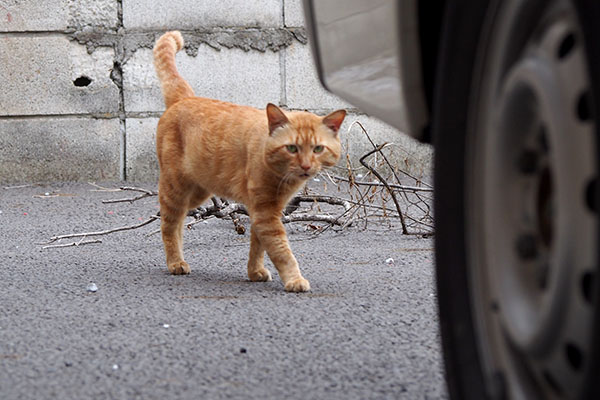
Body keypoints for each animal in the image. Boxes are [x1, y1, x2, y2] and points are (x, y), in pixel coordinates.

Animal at [152, 31, 344, 292]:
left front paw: (255, 272)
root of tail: (185, 98)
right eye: (292, 148)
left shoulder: (263, 211)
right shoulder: (266, 213)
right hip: (176, 189)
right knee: (169, 222)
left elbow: (258, 246)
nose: (306, 166)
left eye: (317, 149)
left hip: (198, 192)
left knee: (179, 221)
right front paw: (294, 279)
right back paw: (175, 263)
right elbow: (282, 251)